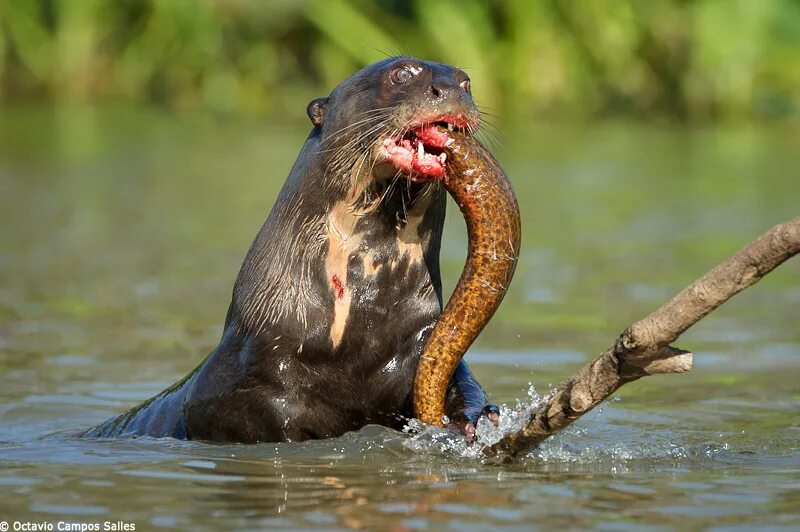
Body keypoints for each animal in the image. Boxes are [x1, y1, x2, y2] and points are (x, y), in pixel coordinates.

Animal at [89, 56, 500, 442]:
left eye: (466, 80)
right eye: (402, 73)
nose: (453, 88)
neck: (361, 332)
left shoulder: (422, 341)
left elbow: (462, 381)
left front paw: (473, 418)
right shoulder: (236, 384)